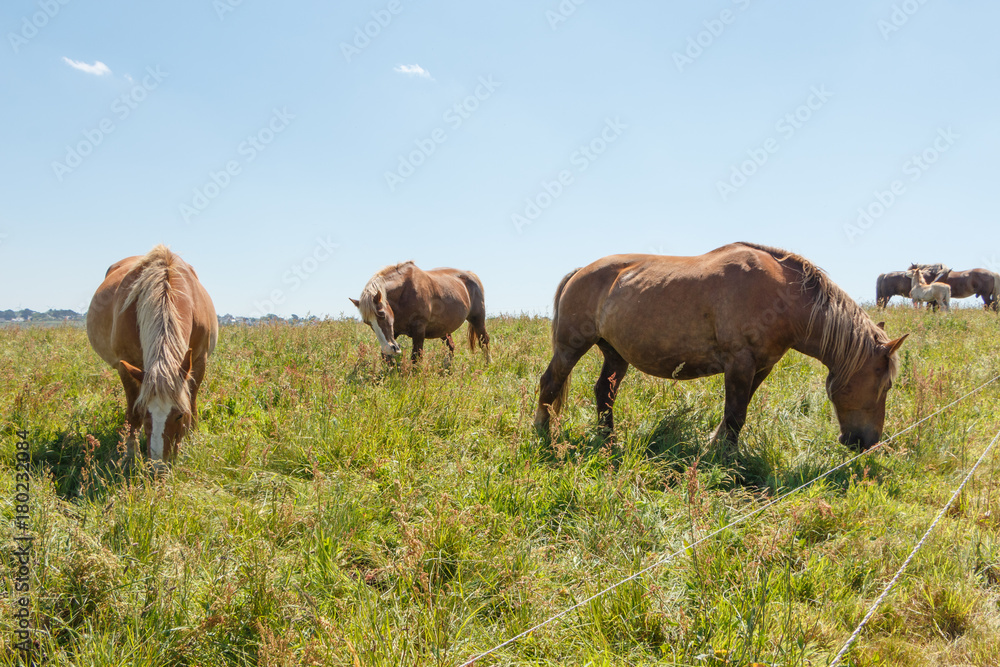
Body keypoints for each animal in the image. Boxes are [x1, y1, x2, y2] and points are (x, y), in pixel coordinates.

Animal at [87, 245, 218, 464]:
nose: (159, 466)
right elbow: (132, 412)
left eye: (179, 415)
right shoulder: (126, 365)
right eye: (144, 412)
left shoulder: (199, 360)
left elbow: (192, 401)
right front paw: (131, 454)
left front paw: (192, 439)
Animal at [352, 262, 492, 366]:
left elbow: (416, 357)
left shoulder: (419, 330)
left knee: (484, 341)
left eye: (382, 314)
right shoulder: (394, 333)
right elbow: (386, 358)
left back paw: (488, 364)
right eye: (367, 322)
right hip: (443, 330)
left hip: (477, 319)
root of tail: (470, 275)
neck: (404, 292)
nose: (388, 348)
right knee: (451, 346)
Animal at [536, 243, 912, 452]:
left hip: (614, 354)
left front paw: (716, 446)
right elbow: (735, 414)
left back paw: (608, 440)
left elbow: (737, 412)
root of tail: (580, 271)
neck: (783, 296)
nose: (866, 442)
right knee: (550, 383)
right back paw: (543, 434)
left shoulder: (762, 366)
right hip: (571, 346)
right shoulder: (739, 362)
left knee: (604, 392)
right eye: (887, 384)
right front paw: (725, 459)